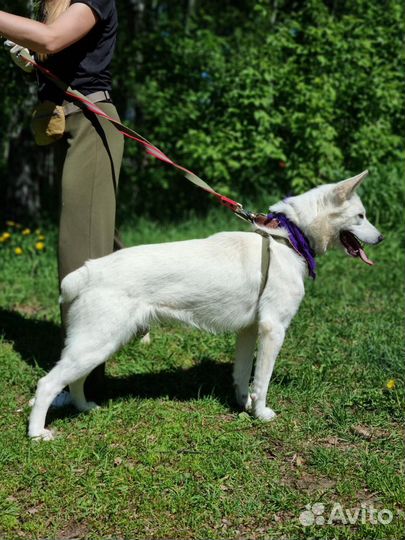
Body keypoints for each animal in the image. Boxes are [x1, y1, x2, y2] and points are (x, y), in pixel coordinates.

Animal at [28, 172, 382, 438]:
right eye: (361, 216)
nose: (380, 238)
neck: (287, 239)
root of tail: (90, 269)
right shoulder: (273, 330)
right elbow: (262, 381)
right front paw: (262, 414)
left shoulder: (249, 331)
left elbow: (243, 376)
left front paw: (244, 405)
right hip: (95, 344)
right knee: (46, 384)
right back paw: (37, 434)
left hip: (98, 346)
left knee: (74, 381)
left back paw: (84, 408)